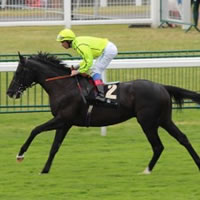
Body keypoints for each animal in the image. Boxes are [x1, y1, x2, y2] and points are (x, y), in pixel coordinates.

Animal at [6, 52, 200, 174]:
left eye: (19, 72)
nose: (9, 92)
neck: (64, 86)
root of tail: (162, 86)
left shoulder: (62, 119)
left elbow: (35, 130)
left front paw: (20, 155)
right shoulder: (65, 122)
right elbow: (54, 147)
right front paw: (45, 170)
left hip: (148, 122)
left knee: (158, 146)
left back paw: (147, 170)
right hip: (164, 119)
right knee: (183, 138)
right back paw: (197, 163)